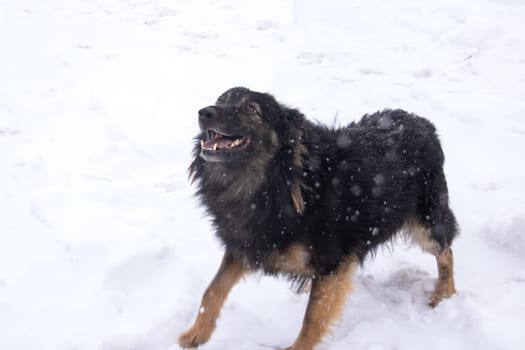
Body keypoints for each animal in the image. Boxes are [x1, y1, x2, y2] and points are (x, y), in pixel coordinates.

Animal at [178, 87, 456, 350]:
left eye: (250, 108)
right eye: (221, 100)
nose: (204, 113)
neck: (277, 182)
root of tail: (423, 124)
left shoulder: (331, 262)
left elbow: (313, 317)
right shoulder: (246, 244)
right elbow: (212, 290)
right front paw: (196, 334)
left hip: (427, 225)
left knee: (446, 251)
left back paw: (444, 293)